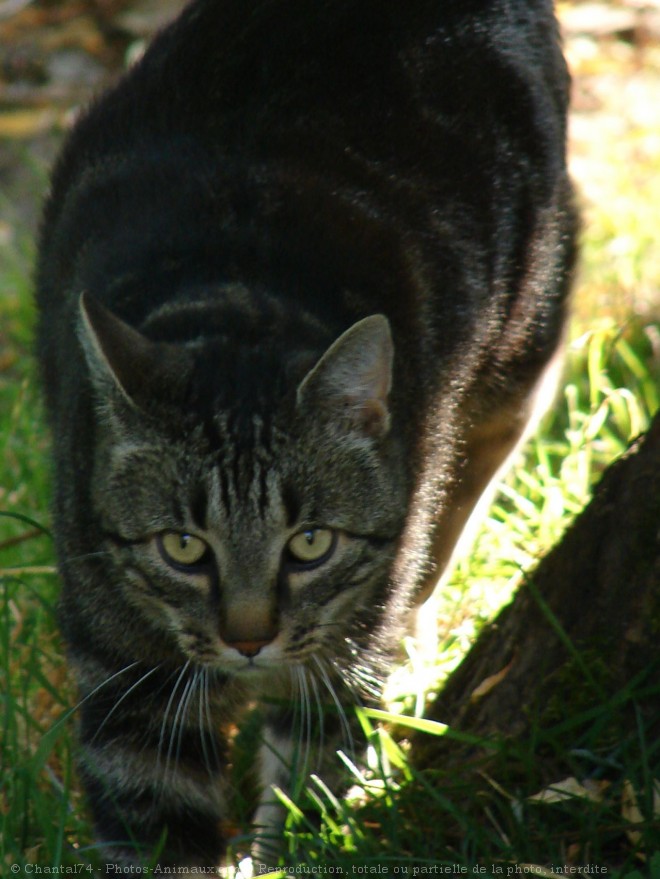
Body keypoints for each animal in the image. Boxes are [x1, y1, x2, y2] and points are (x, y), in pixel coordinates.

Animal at [34, 0, 572, 868]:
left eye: (311, 543)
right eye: (182, 547)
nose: (250, 639)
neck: (239, 293)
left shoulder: (340, 659)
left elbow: (307, 788)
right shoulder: (127, 682)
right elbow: (158, 825)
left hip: (524, 353)